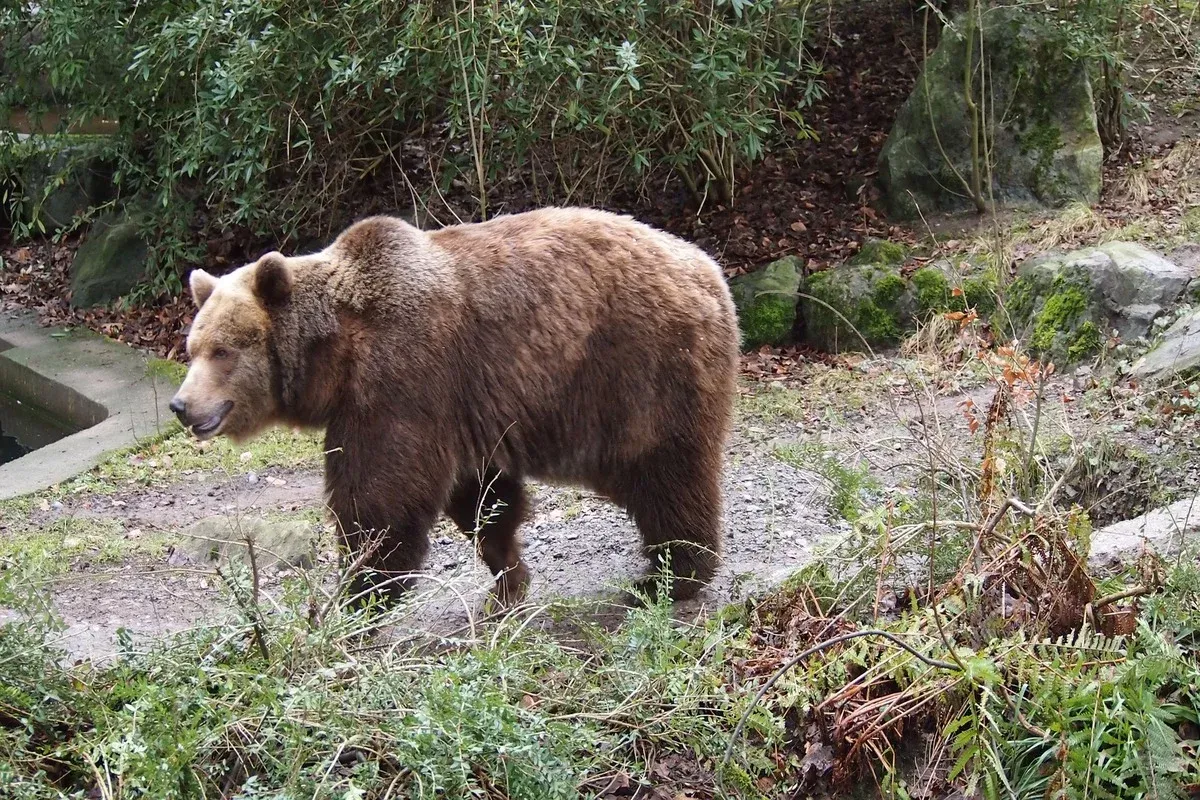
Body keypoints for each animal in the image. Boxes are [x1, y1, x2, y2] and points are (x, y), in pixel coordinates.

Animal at [171, 206, 739, 606]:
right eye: (192, 347)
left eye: (223, 350)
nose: (181, 404)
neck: (337, 356)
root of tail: (709, 268)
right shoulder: (462, 409)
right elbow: (483, 498)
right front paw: (507, 579)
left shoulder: (403, 378)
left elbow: (380, 498)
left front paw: (360, 594)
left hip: (639, 367)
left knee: (664, 471)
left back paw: (671, 577)